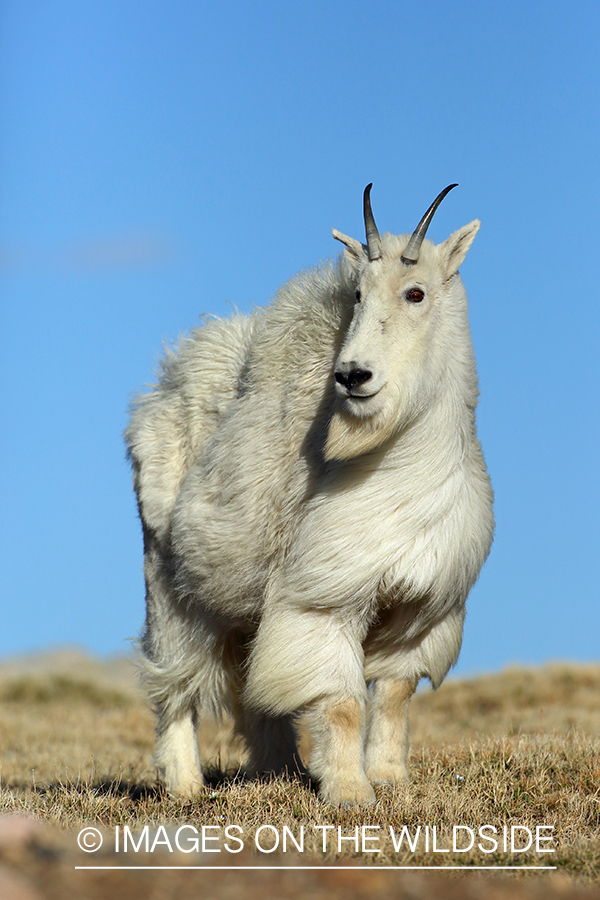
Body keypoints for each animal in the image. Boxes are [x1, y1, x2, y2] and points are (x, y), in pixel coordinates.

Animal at [125, 186, 492, 804]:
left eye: (416, 291)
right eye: (358, 294)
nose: (353, 375)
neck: (397, 461)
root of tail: (165, 385)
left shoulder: (422, 607)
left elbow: (392, 695)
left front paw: (388, 779)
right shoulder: (323, 598)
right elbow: (341, 702)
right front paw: (349, 792)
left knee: (250, 693)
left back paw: (279, 770)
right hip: (170, 584)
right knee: (175, 684)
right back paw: (186, 787)